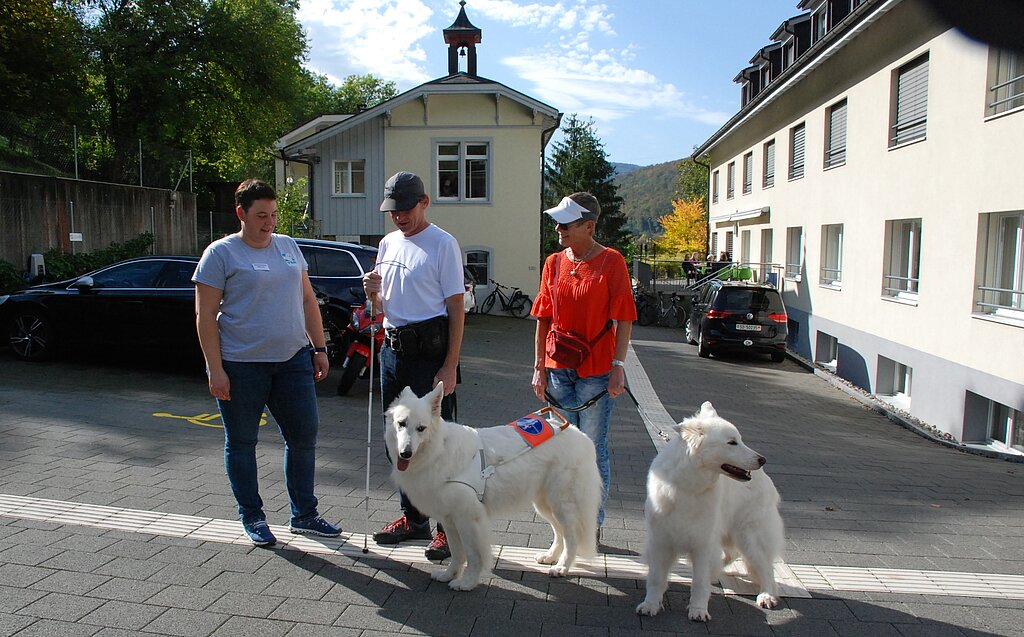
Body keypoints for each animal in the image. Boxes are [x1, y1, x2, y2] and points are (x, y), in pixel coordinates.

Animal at [387, 380, 602, 589]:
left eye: (421, 429)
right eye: (401, 424)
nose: (405, 453)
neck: (439, 450)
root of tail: (580, 434)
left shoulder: (468, 519)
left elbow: (473, 556)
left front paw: (467, 582)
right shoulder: (449, 520)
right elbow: (457, 554)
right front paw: (449, 575)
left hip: (561, 505)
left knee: (571, 538)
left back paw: (562, 567)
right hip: (545, 505)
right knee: (559, 533)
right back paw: (550, 557)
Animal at [630, 403, 782, 622]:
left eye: (740, 440)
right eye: (732, 443)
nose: (763, 459)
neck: (688, 488)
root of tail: (765, 477)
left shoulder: (703, 544)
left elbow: (700, 583)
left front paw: (698, 610)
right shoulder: (661, 541)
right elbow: (656, 578)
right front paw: (650, 605)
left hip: (748, 538)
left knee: (766, 569)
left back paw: (767, 595)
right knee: (730, 555)